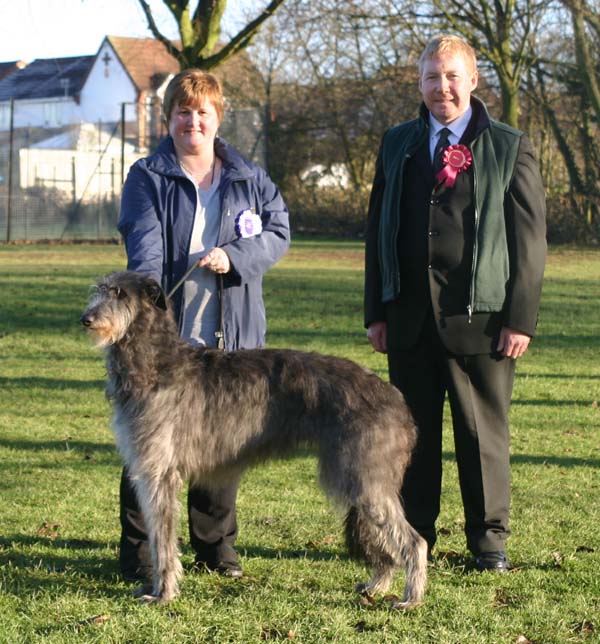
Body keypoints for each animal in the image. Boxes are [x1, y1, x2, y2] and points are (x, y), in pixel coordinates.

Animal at [81, 270, 426, 608]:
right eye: (100, 289)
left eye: (120, 294)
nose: (86, 319)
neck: (157, 363)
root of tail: (396, 398)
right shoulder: (147, 470)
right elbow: (156, 537)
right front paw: (154, 587)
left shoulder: (160, 473)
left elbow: (163, 540)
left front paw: (163, 593)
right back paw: (378, 585)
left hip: (363, 478)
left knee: (415, 541)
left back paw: (411, 597)